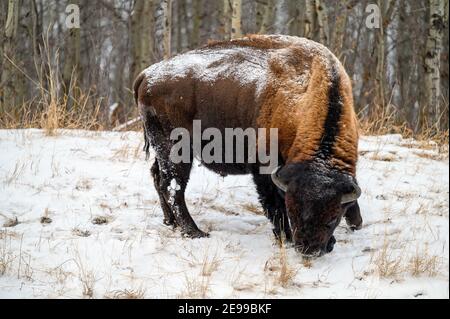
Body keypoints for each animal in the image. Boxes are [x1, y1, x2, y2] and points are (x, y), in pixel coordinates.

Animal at [134, 34, 362, 258]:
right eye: (293, 212)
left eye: (333, 218)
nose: (309, 249)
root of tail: (148, 74)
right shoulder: (265, 171)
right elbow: (274, 205)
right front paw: (285, 238)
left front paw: (356, 224)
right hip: (176, 151)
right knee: (173, 188)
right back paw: (195, 232)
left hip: (161, 150)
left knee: (158, 177)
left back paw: (170, 222)